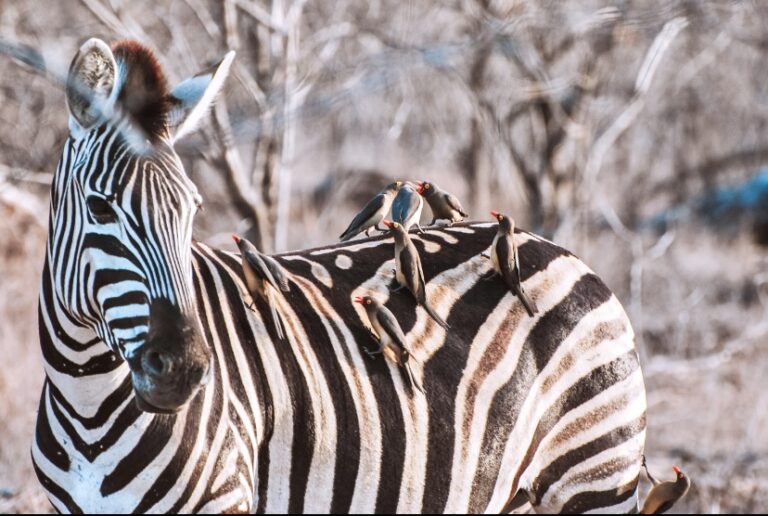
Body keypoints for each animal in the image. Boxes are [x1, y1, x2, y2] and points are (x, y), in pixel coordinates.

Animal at [33, 38, 648, 513]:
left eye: (192, 210)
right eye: (101, 208)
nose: (183, 369)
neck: (87, 402)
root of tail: (557, 248)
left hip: (595, 473)